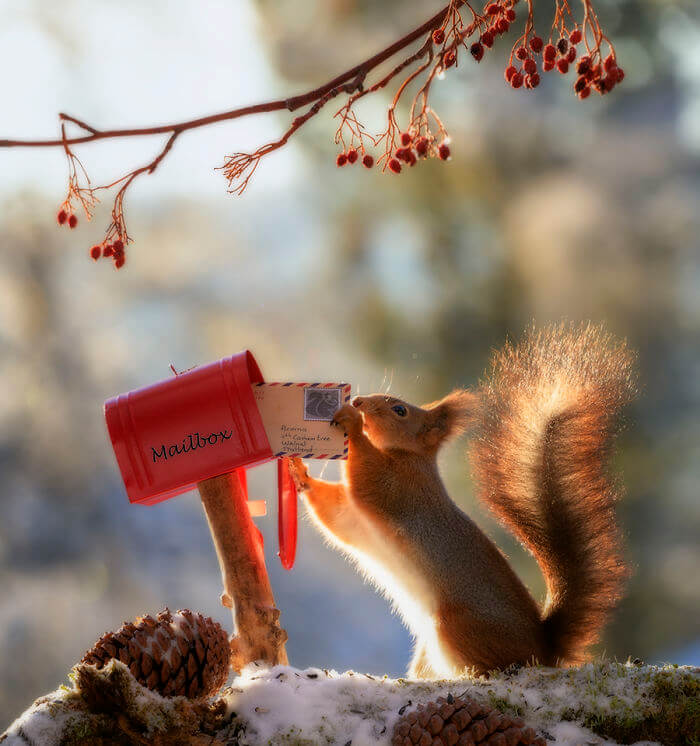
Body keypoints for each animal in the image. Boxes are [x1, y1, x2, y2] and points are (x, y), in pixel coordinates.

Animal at [288, 322, 636, 676]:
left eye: (400, 410)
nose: (358, 401)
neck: (409, 457)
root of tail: (543, 651)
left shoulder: (399, 487)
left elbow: (367, 476)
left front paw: (353, 424)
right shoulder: (357, 519)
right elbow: (335, 514)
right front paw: (299, 472)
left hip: (457, 628)